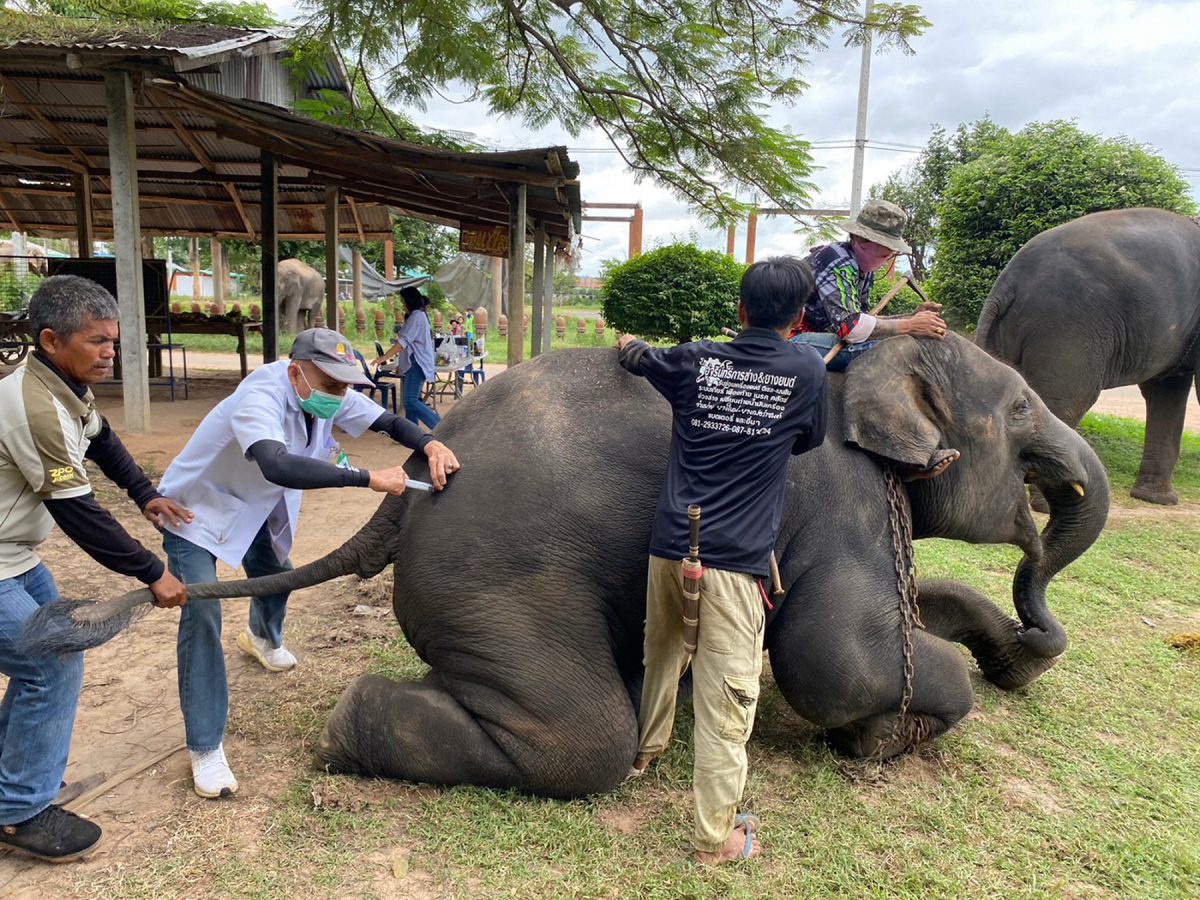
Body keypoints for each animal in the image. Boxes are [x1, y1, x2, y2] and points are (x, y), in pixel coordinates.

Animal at [974, 211, 1200, 508]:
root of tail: (1007, 282)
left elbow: (1166, 390)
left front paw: (1158, 500)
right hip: (1067, 328)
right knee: (1066, 402)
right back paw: (1049, 504)